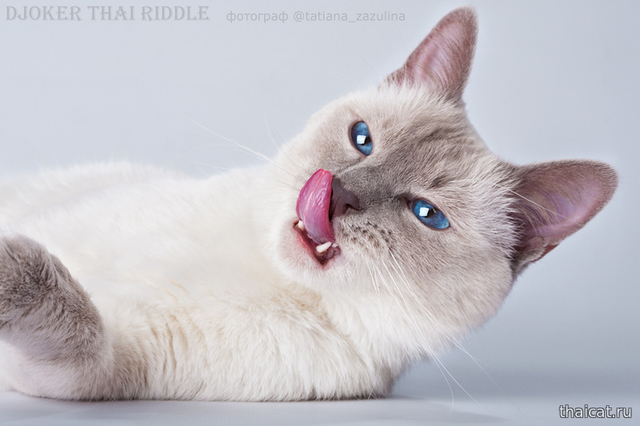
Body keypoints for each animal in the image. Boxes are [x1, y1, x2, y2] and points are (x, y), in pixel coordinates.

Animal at [0, 7, 617, 401]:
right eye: (362, 139)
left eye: (427, 215)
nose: (335, 194)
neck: (264, 271)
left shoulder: (98, 370)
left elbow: (70, 314)